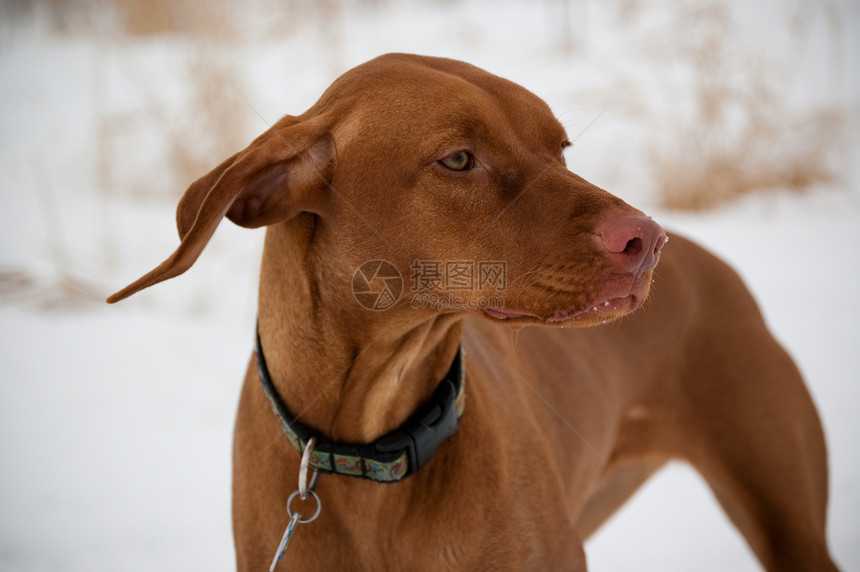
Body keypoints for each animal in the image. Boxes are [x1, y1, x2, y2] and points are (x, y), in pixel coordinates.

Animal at [109, 54, 840, 572]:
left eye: (561, 148)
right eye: (458, 159)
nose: (648, 240)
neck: (367, 439)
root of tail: (722, 269)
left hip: (791, 525)